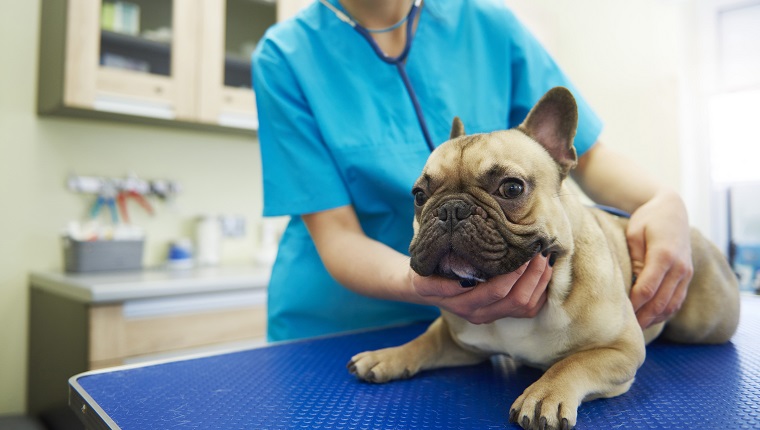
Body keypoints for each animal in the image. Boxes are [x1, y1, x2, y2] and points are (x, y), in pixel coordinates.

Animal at [348, 87, 740, 430]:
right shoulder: (460, 340)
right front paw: (388, 355)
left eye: (511, 188)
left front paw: (544, 394)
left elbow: (573, 363)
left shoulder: (622, 349)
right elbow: (424, 341)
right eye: (418, 195)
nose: (450, 209)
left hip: (702, 322)